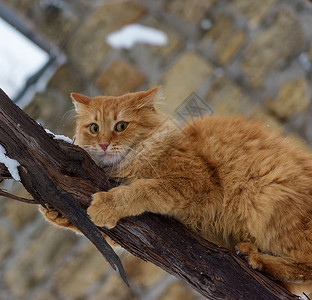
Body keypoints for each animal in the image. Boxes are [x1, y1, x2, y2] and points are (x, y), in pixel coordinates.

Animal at [41, 88, 312, 296]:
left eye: (121, 126)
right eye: (94, 128)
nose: (104, 144)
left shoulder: (195, 183)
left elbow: (141, 190)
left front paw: (106, 205)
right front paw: (54, 211)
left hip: (265, 194)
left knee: (306, 266)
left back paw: (256, 258)